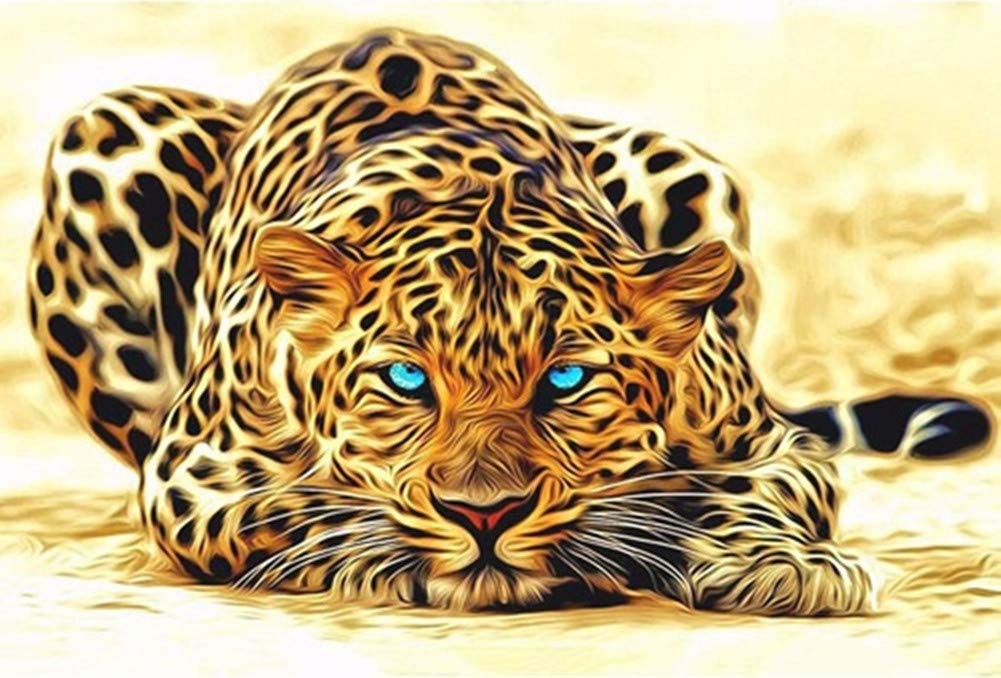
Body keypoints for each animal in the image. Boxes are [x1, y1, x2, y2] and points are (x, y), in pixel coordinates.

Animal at [27, 28, 993, 614]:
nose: (483, 516)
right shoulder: (193, 474)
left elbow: (747, 491)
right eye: (405, 379)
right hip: (103, 129)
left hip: (685, 164)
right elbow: (297, 508)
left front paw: (775, 564)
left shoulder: (769, 443)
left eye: (565, 379)